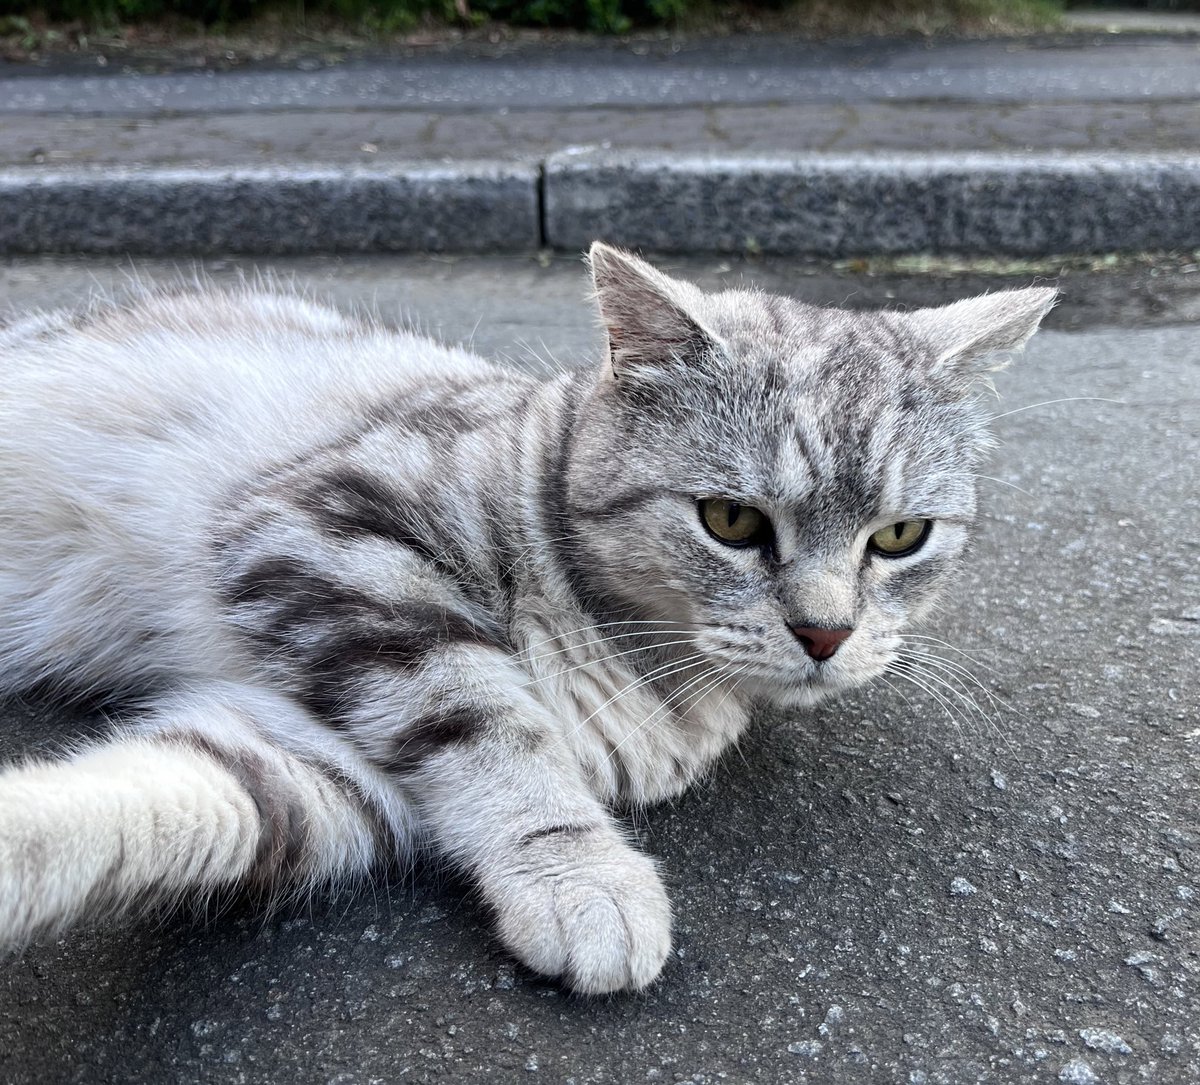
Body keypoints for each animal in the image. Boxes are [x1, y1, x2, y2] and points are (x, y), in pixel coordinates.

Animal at [0, 246, 1051, 993]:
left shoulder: (318, 761)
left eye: (901, 536)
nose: (827, 634)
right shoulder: (329, 532)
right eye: (732, 521)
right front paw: (583, 877)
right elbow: (492, 728)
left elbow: (149, 811)